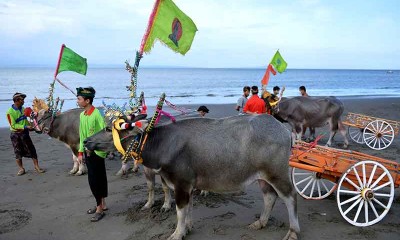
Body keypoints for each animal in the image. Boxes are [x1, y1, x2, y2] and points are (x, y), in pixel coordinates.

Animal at [84, 114, 300, 240]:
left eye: (107, 129)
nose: (86, 141)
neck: (162, 143)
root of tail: (283, 128)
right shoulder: (188, 185)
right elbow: (188, 209)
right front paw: (187, 228)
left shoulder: (181, 183)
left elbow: (180, 211)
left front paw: (177, 233)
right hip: (262, 177)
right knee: (269, 197)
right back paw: (260, 222)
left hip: (278, 174)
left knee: (290, 198)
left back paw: (292, 232)